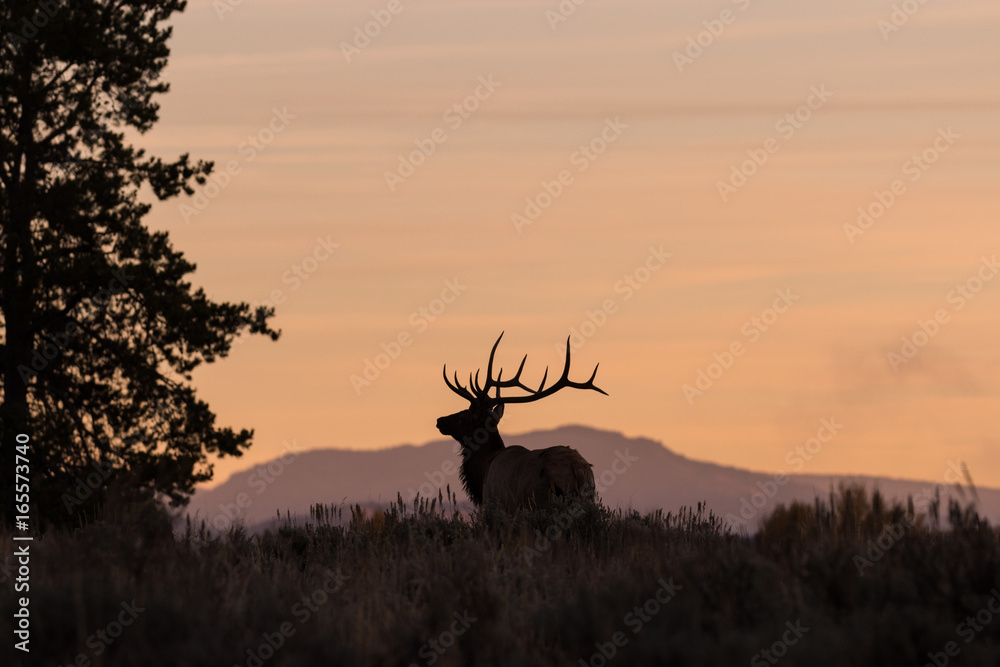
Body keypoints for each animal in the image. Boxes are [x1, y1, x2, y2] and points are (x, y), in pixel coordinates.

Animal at [436, 332, 608, 513]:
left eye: (465, 414)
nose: (440, 421)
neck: (483, 468)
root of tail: (577, 470)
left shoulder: (493, 503)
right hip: (589, 498)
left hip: (540, 501)